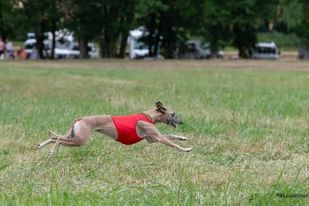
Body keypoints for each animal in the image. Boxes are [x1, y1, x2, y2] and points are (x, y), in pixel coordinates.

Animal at [37, 101, 191, 156]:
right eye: (173, 114)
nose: (182, 121)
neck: (148, 116)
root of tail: (81, 118)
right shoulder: (157, 137)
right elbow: (172, 143)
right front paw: (186, 149)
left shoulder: (152, 138)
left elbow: (172, 136)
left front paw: (183, 138)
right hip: (79, 140)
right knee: (59, 140)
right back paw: (51, 152)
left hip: (73, 135)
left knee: (55, 137)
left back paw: (41, 146)